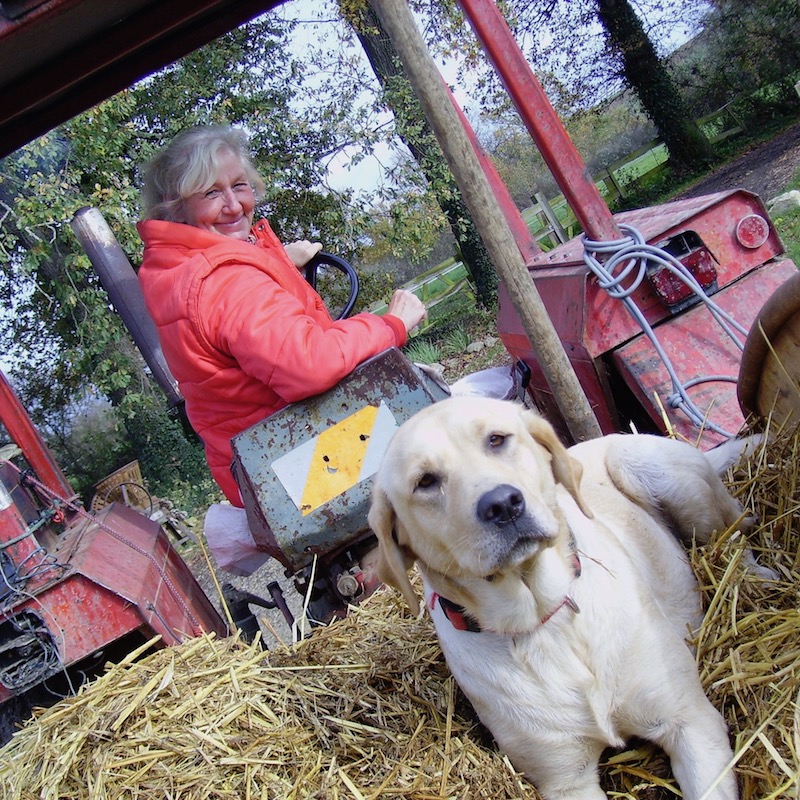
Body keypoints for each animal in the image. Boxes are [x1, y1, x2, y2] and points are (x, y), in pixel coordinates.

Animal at [372, 398, 740, 800]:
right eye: (425, 481)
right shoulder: (566, 781)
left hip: (650, 470)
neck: (546, 618)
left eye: (496, 439)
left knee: (737, 529)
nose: (503, 504)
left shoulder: (691, 721)